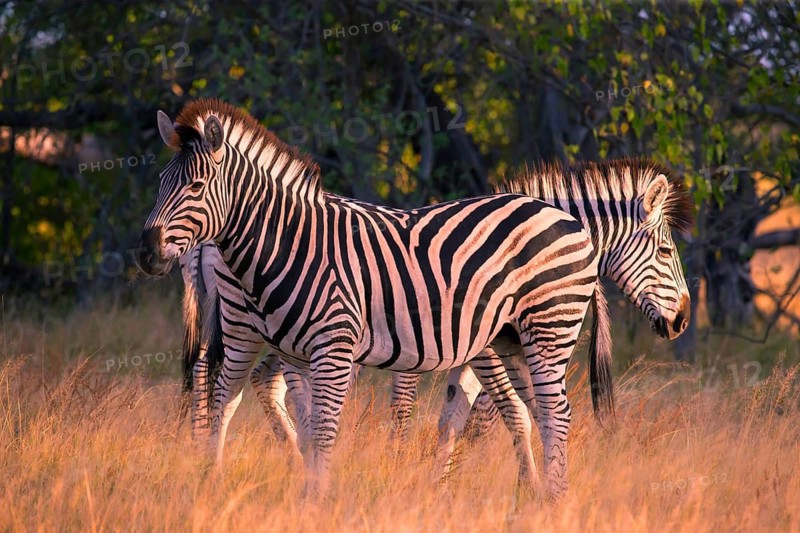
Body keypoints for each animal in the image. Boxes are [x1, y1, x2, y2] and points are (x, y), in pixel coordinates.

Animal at [137, 98, 685, 499]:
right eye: (666, 249)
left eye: (194, 185)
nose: (146, 250)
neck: (291, 237)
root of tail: (564, 221)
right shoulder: (472, 348)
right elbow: (477, 415)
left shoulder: (466, 346)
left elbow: (470, 415)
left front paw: (439, 482)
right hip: (244, 329)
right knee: (228, 392)